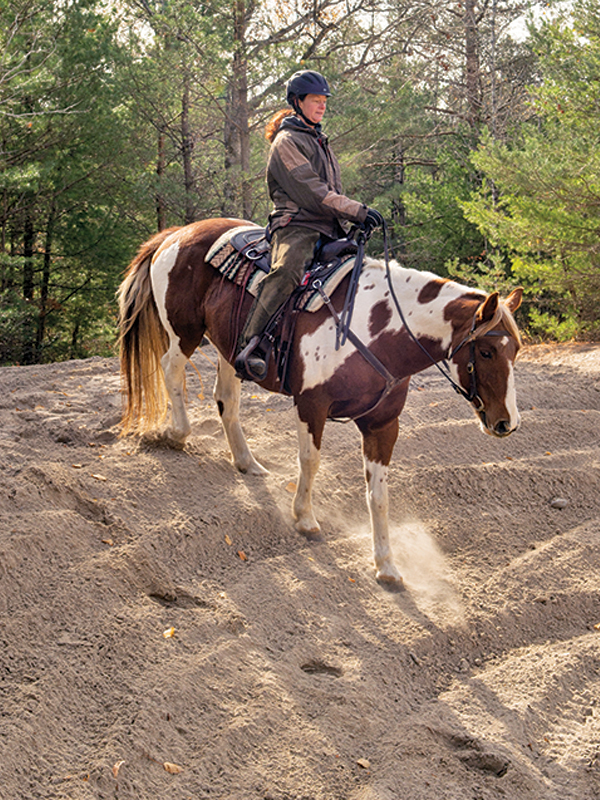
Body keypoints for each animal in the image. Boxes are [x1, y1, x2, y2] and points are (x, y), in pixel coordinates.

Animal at [117, 217, 523, 589]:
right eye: (486, 352)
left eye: (516, 350)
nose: (507, 423)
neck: (374, 329)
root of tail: (178, 232)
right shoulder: (311, 405)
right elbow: (310, 462)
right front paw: (304, 518)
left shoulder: (383, 425)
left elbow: (378, 495)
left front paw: (386, 566)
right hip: (184, 332)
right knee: (170, 369)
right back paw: (174, 434)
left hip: (229, 350)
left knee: (226, 400)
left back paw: (248, 462)